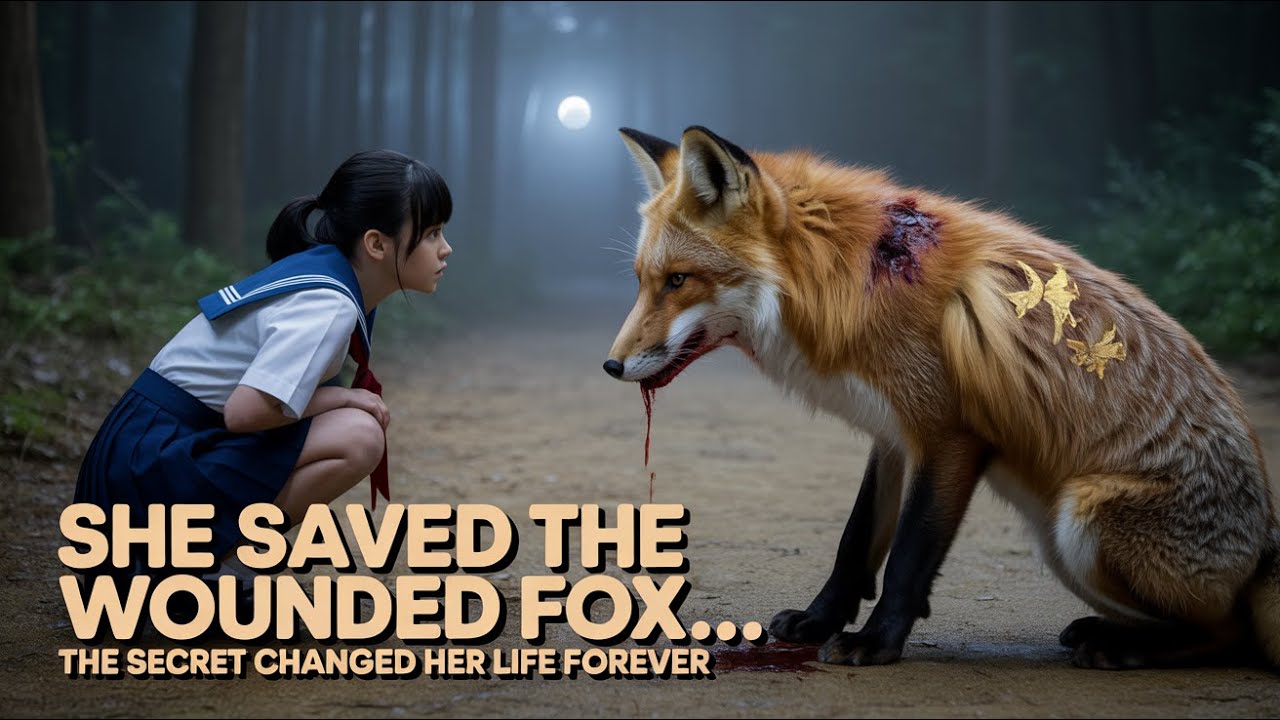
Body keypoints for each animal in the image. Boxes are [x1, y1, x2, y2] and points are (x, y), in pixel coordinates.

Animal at [602, 125, 1280, 669]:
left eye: (679, 281)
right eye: (640, 281)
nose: (611, 365)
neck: (840, 274)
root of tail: (1265, 546)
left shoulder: (949, 435)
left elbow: (909, 554)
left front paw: (876, 644)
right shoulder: (892, 431)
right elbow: (856, 541)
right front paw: (820, 621)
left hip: (1081, 519)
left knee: (1227, 633)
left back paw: (1123, 647)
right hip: (1063, 543)